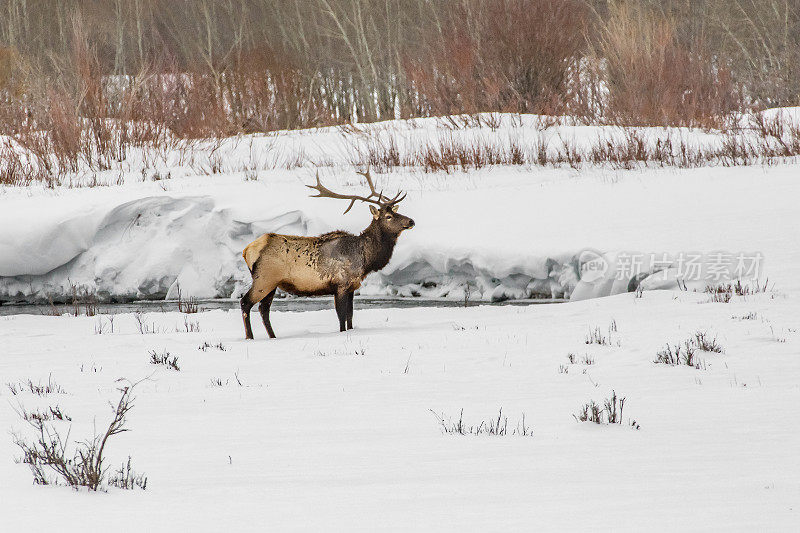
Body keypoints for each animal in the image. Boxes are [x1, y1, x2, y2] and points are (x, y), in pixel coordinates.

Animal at [241, 168, 416, 338]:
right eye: (388, 216)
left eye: (397, 212)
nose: (411, 221)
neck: (366, 259)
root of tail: (247, 250)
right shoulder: (341, 284)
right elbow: (341, 317)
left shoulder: (352, 287)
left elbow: (350, 317)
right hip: (264, 279)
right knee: (246, 302)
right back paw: (250, 337)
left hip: (272, 283)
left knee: (264, 309)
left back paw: (273, 337)